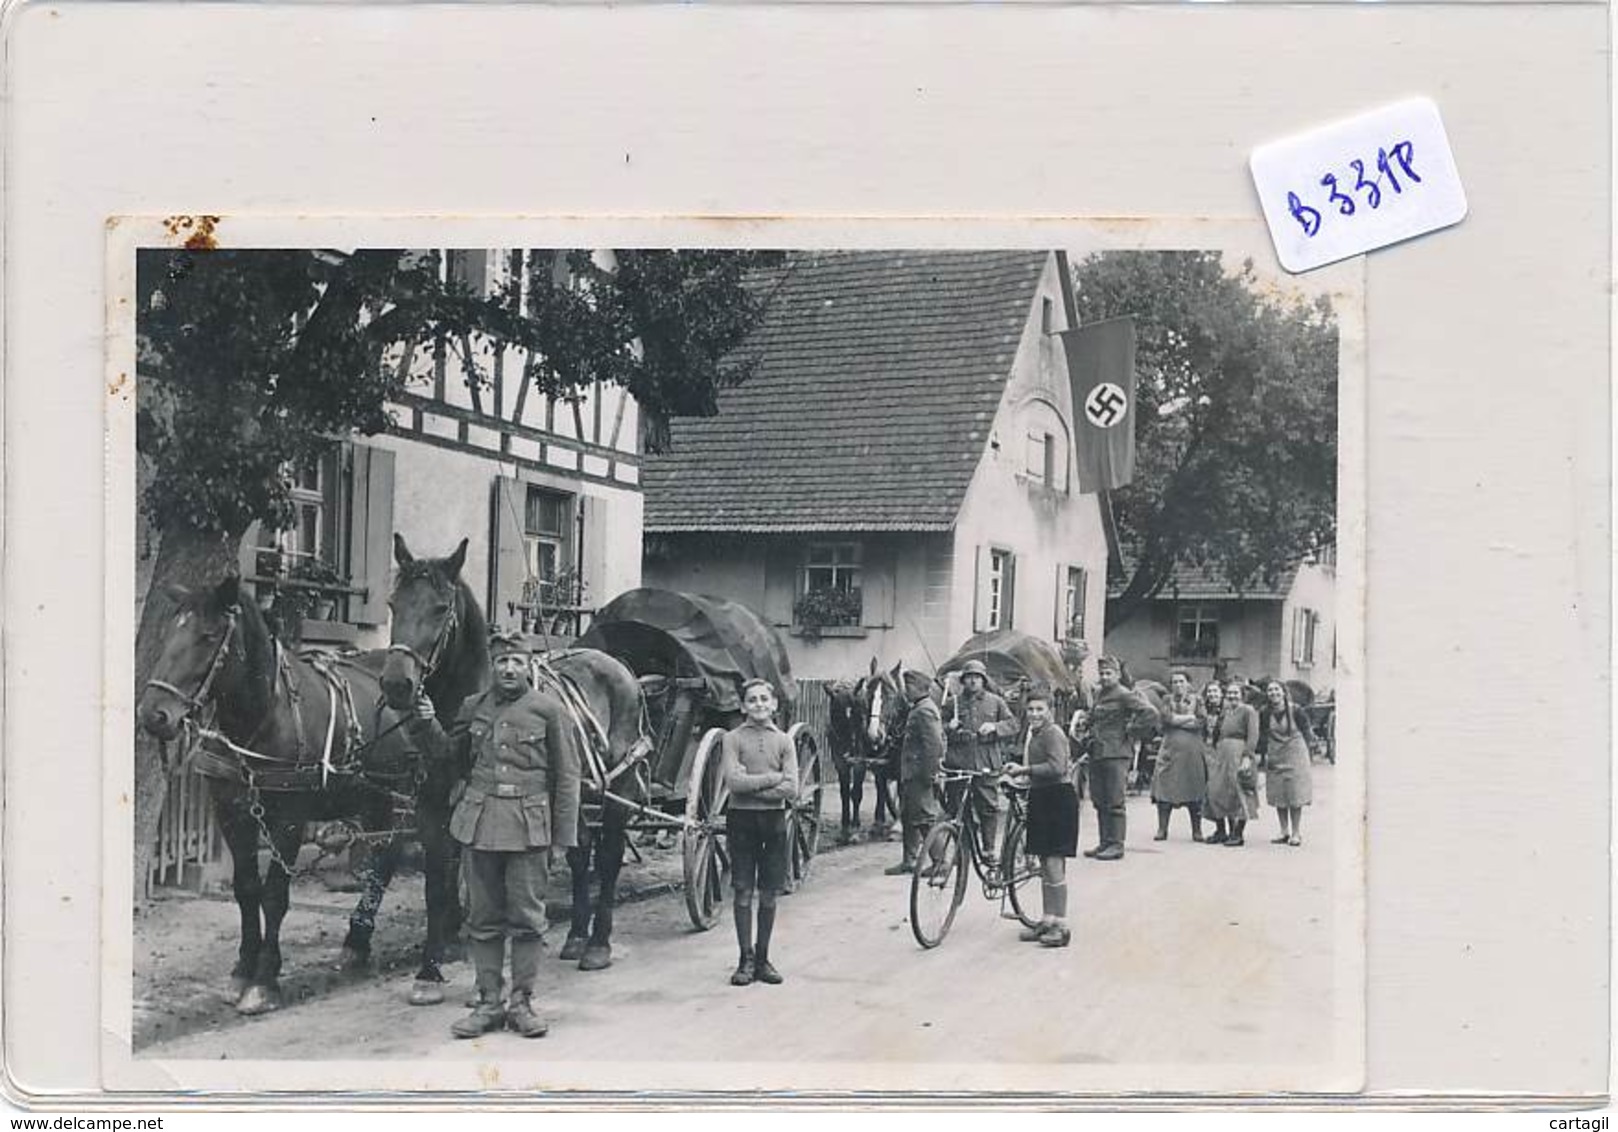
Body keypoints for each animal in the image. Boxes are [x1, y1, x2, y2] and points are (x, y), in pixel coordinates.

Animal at [139, 578, 427, 1015]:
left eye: (208, 636)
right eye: (171, 632)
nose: (153, 715)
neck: (262, 718)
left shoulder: (288, 820)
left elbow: (275, 896)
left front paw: (264, 980)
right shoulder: (232, 813)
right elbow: (246, 889)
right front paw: (242, 970)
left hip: (402, 796)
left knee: (392, 861)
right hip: (375, 800)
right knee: (383, 861)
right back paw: (357, 944)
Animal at [378, 536, 650, 970]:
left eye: (440, 608)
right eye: (393, 604)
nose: (396, 684)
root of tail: (622, 670)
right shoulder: (431, 803)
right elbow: (437, 878)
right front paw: (440, 949)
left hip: (618, 787)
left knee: (608, 858)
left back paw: (598, 944)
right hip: (574, 790)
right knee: (580, 852)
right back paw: (576, 935)